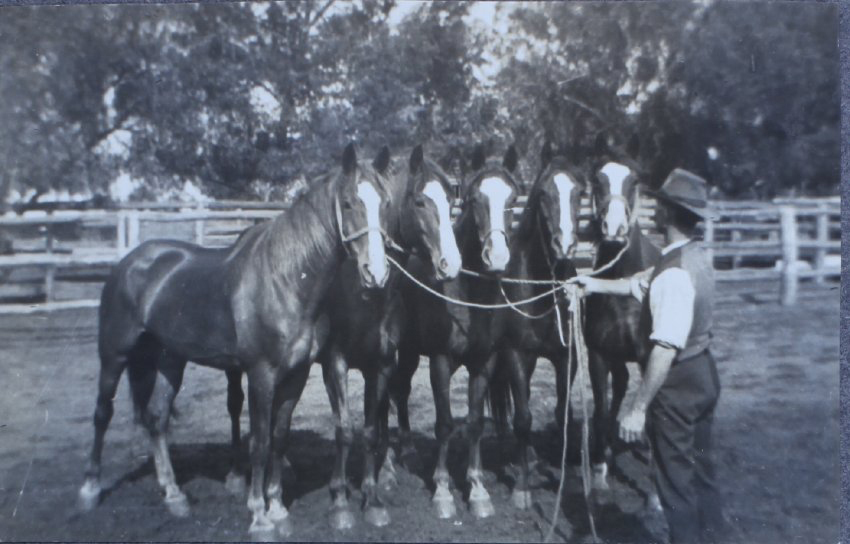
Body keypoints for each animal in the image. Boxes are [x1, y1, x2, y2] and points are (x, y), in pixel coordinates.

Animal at [78, 143, 396, 536]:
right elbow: (259, 442)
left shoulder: (296, 376)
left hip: (169, 360)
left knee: (157, 419)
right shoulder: (261, 374)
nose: (376, 273)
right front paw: (259, 516)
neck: (285, 279)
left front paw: (278, 508)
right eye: (350, 203)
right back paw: (90, 489)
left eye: (386, 203)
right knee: (102, 414)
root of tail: (129, 262)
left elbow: (279, 437)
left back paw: (174, 495)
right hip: (114, 354)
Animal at [317, 145, 461, 530]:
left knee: (393, 402)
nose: (451, 264)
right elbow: (344, 429)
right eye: (419, 201)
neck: (363, 296)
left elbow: (370, 429)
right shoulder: (335, 363)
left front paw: (373, 498)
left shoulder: (381, 362)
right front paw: (340, 502)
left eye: (452, 202)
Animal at [387, 145, 521, 520]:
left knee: (400, 390)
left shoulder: (484, 363)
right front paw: (443, 492)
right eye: (475, 199)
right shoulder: (440, 361)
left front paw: (477, 491)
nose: (497, 258)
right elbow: (445, 423)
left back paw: (407, 450)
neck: (466, 295)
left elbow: (474, 423)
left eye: (513, 199)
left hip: (410, 352)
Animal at [487, 141, 585, 510]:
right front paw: (522, 490)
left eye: (580, 192)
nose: (564, 246)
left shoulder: (566, 357)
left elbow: (563, 414)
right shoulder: (516, 354)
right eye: (543, 194)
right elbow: (523, 418)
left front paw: (569, 476)